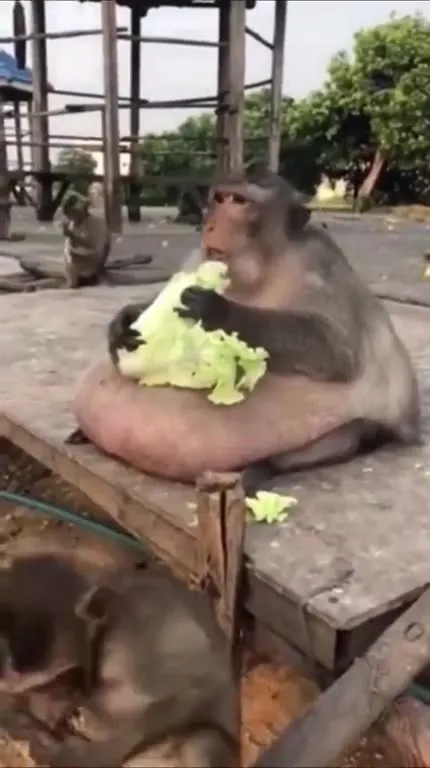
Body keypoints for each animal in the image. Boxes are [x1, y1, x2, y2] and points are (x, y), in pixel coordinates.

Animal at [71, 167, 420, 493]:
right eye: (220, 198)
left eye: (240, 202)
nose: (210, 226)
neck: (258, 267)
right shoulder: (201, 255)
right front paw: (126, 319)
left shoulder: (319, 261)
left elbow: (335, 351)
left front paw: (217, 310)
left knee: (348, 432)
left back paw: (262, 467)